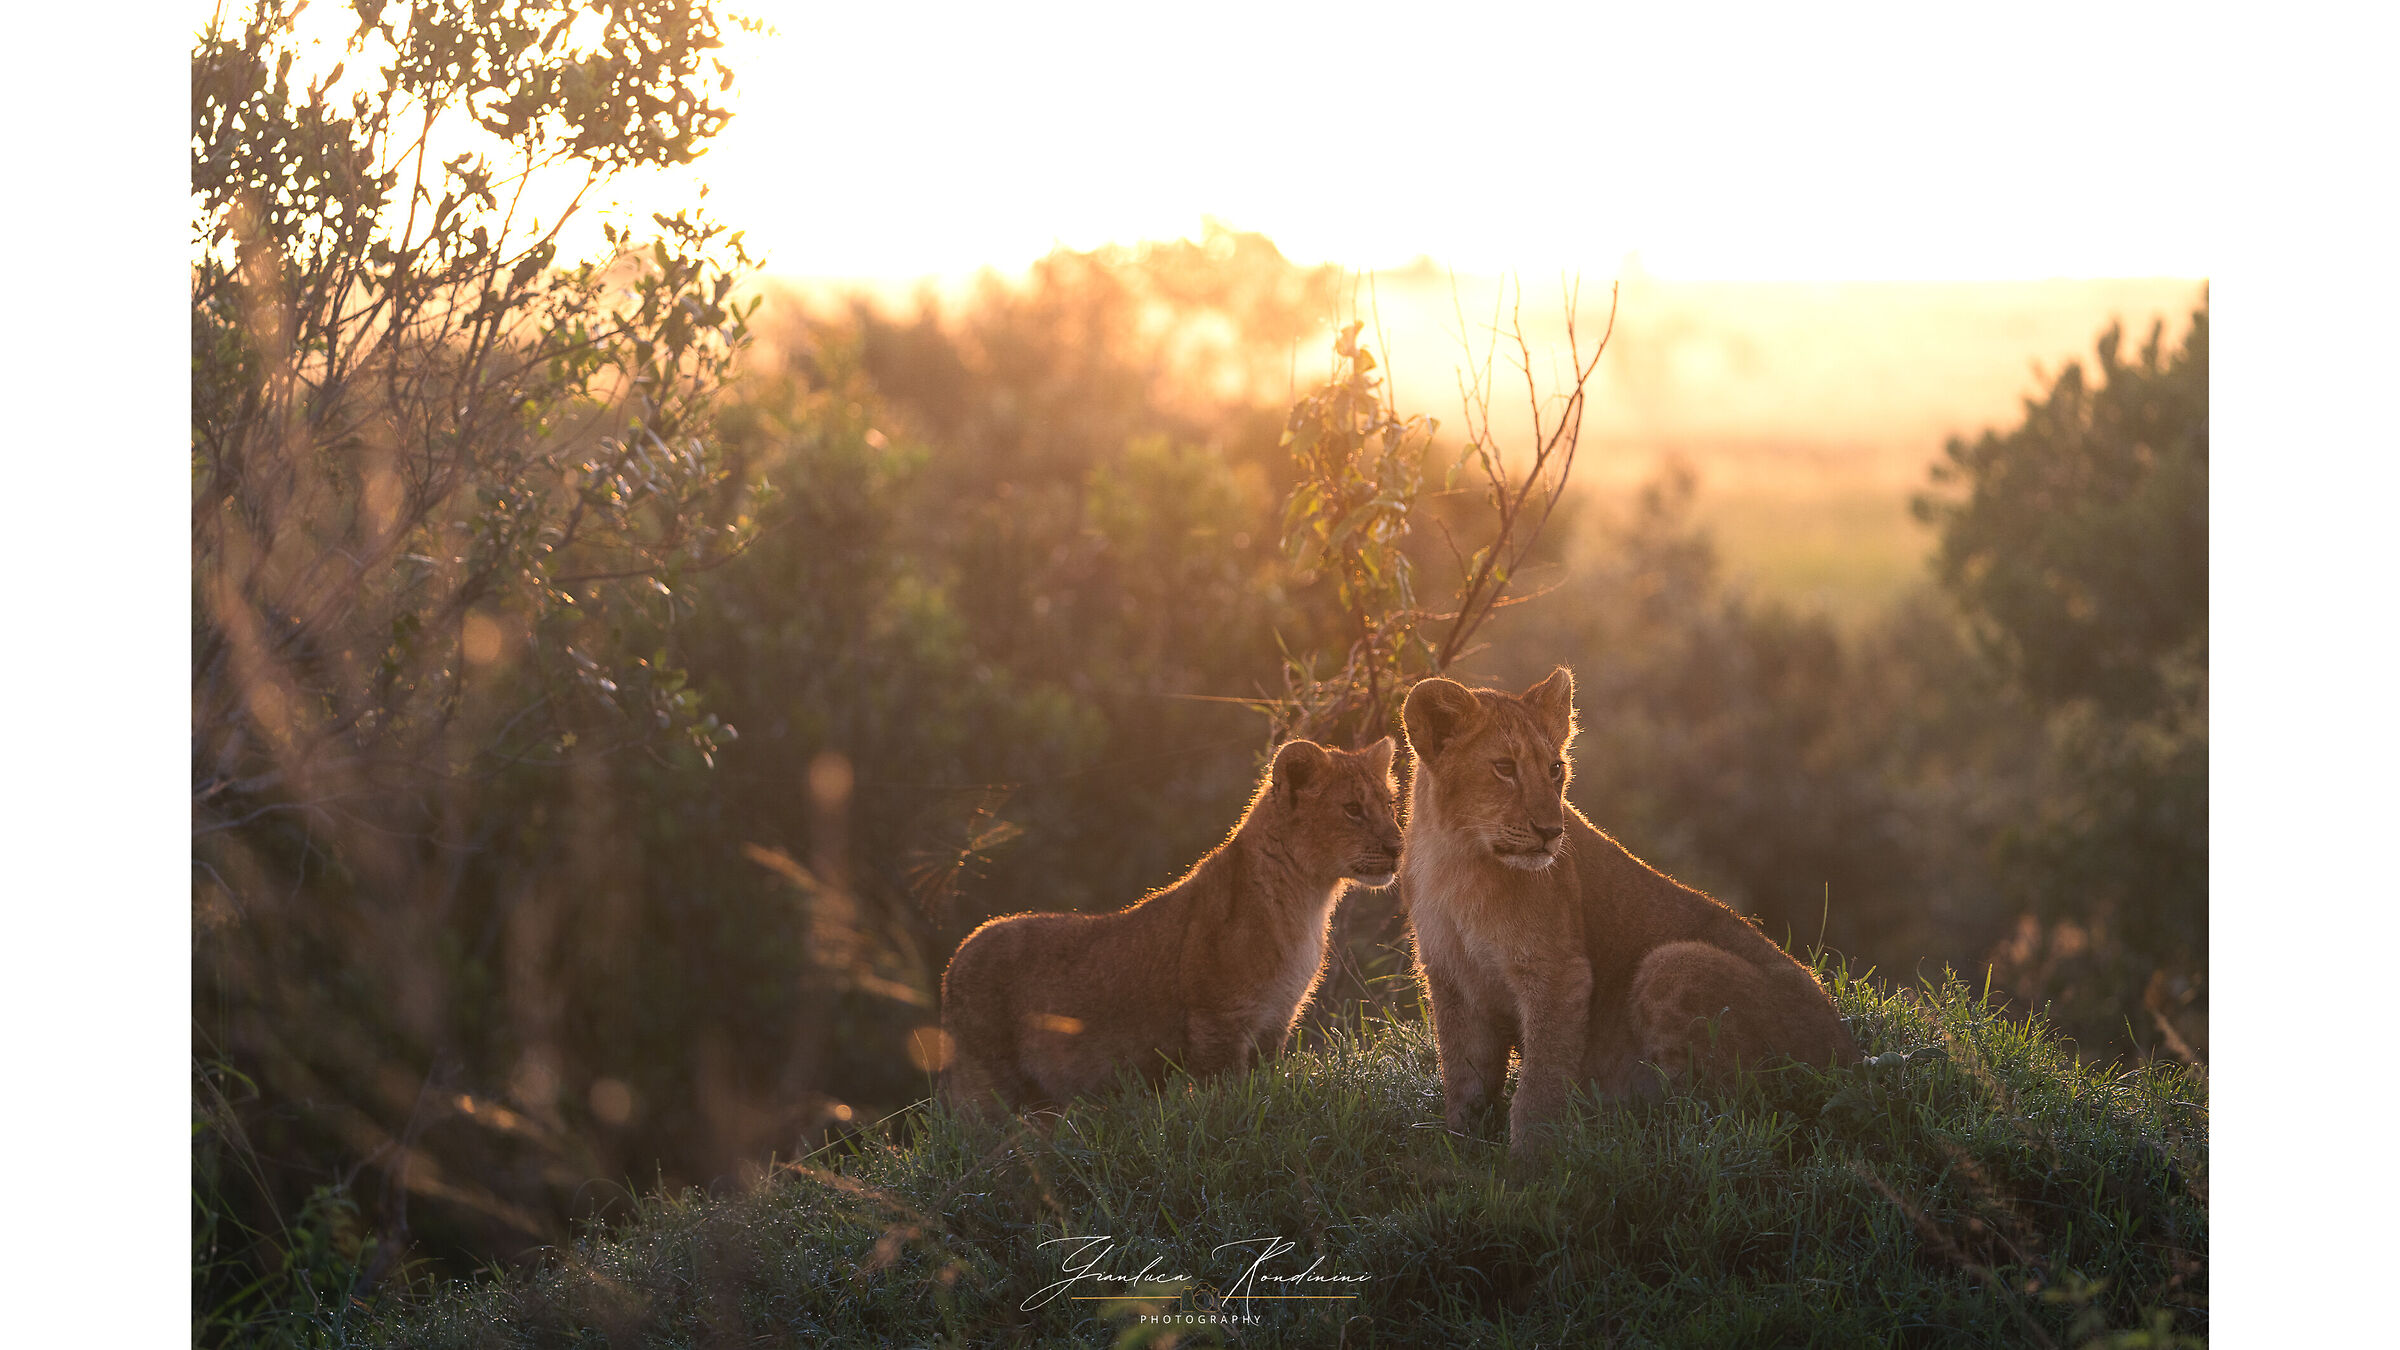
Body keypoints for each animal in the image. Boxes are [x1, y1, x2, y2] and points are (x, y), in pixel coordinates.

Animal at [939, 737, 1402, 1115]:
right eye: (1352, 810)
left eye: (1389, 805)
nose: (1398, 847)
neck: (1307, 900)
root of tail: (959, 954)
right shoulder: (1217, 1021)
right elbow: (1229, 1096)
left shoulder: (1275, 1020)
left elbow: (1264, 1082)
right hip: (987, 1081)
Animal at [1400, 668, 1854, 1151]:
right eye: (1504, 768)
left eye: (1554, 768)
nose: (1551, 831)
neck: (1458, 862)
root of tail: (1848, 1059)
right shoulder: (1451, 975)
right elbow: (1463, 1074)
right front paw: (1459, 1144)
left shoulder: (1559, 974)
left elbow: (1541, 1079)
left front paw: (1530, 1159)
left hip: (1673, 961)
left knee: (1724, 1115)